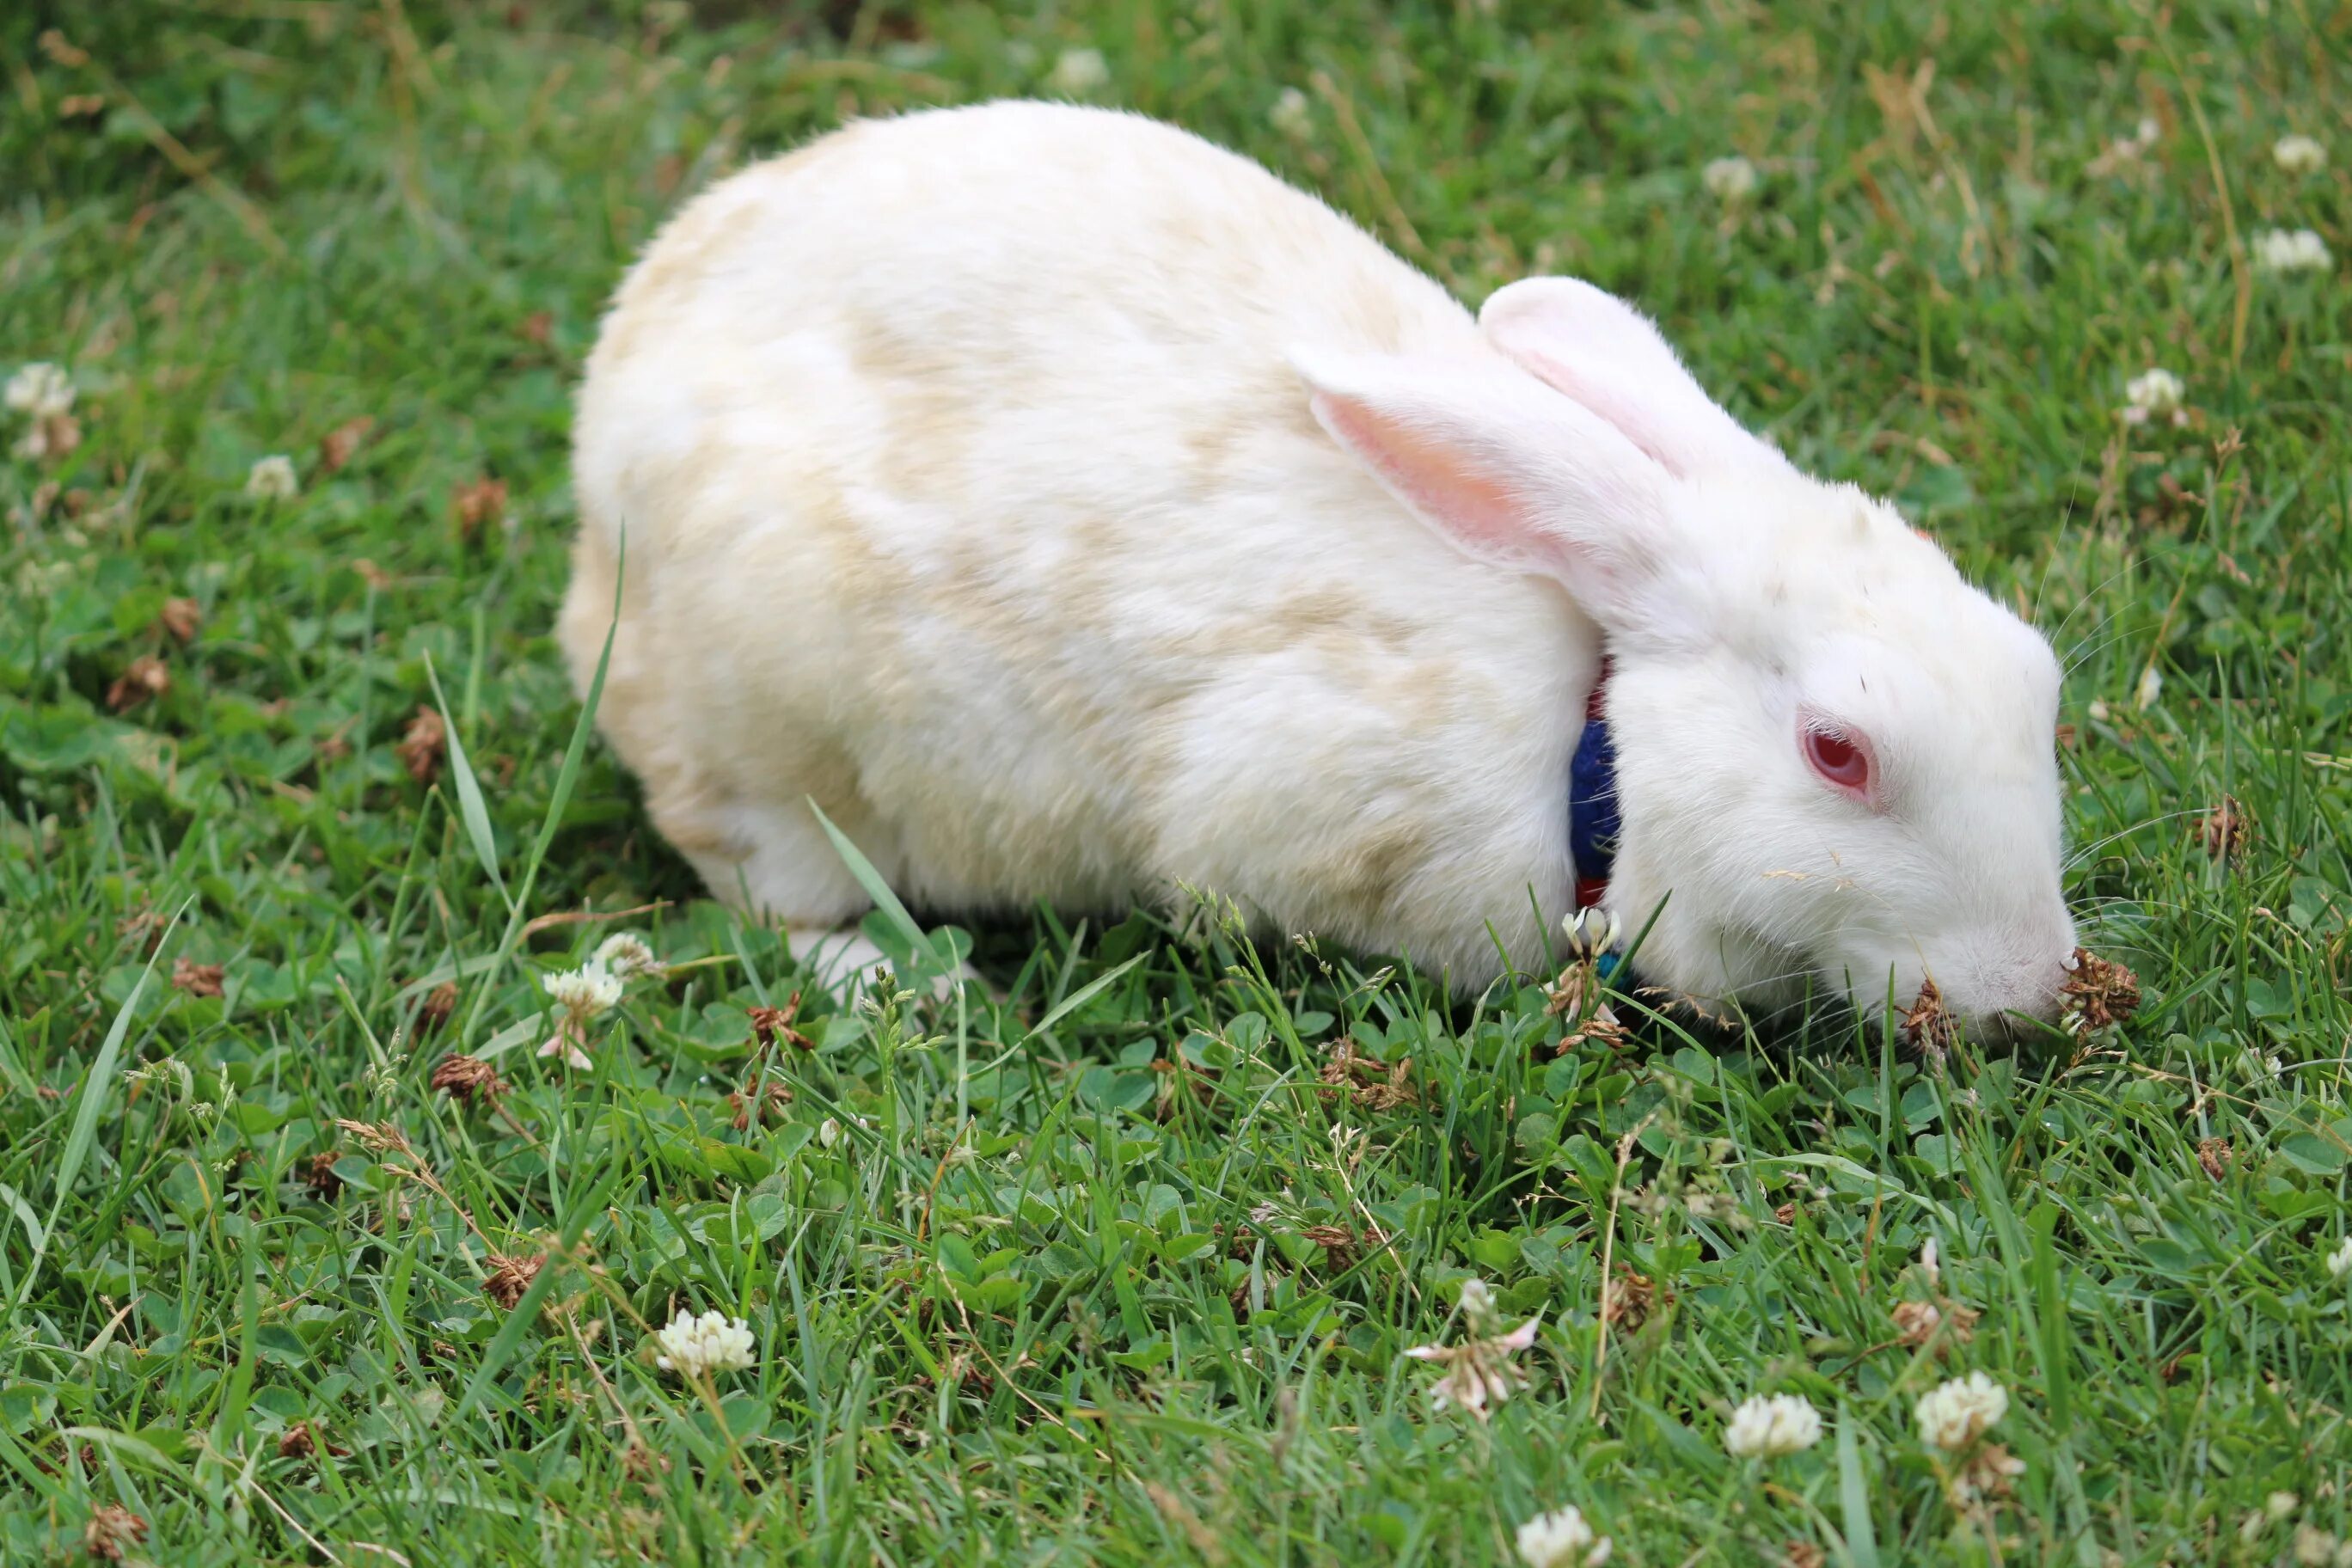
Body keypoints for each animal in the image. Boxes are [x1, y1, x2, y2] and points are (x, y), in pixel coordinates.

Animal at [569, 101, 2079, 1029]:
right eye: (1839, 752)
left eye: (2039, 677)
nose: (2034, 987)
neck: (1594, 742)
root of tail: (602, 455)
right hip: (770, 740)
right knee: (763, 889)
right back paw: (900, 981)